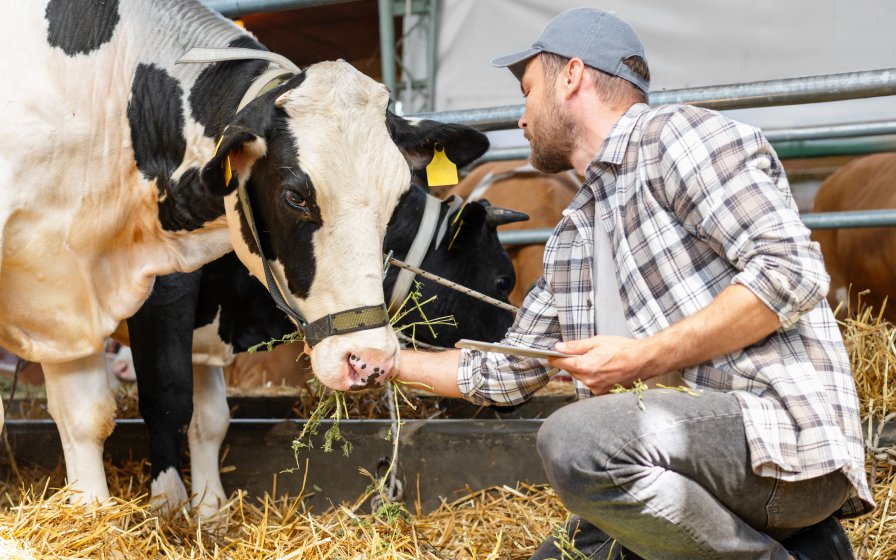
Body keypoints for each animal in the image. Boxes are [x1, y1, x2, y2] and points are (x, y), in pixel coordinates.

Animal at [123, 182, 526, 518]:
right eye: (503, 280)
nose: (514, 355)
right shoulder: (167, 289)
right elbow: (170, 402)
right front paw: (170, 515)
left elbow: (210, 419)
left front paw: (211, 514)